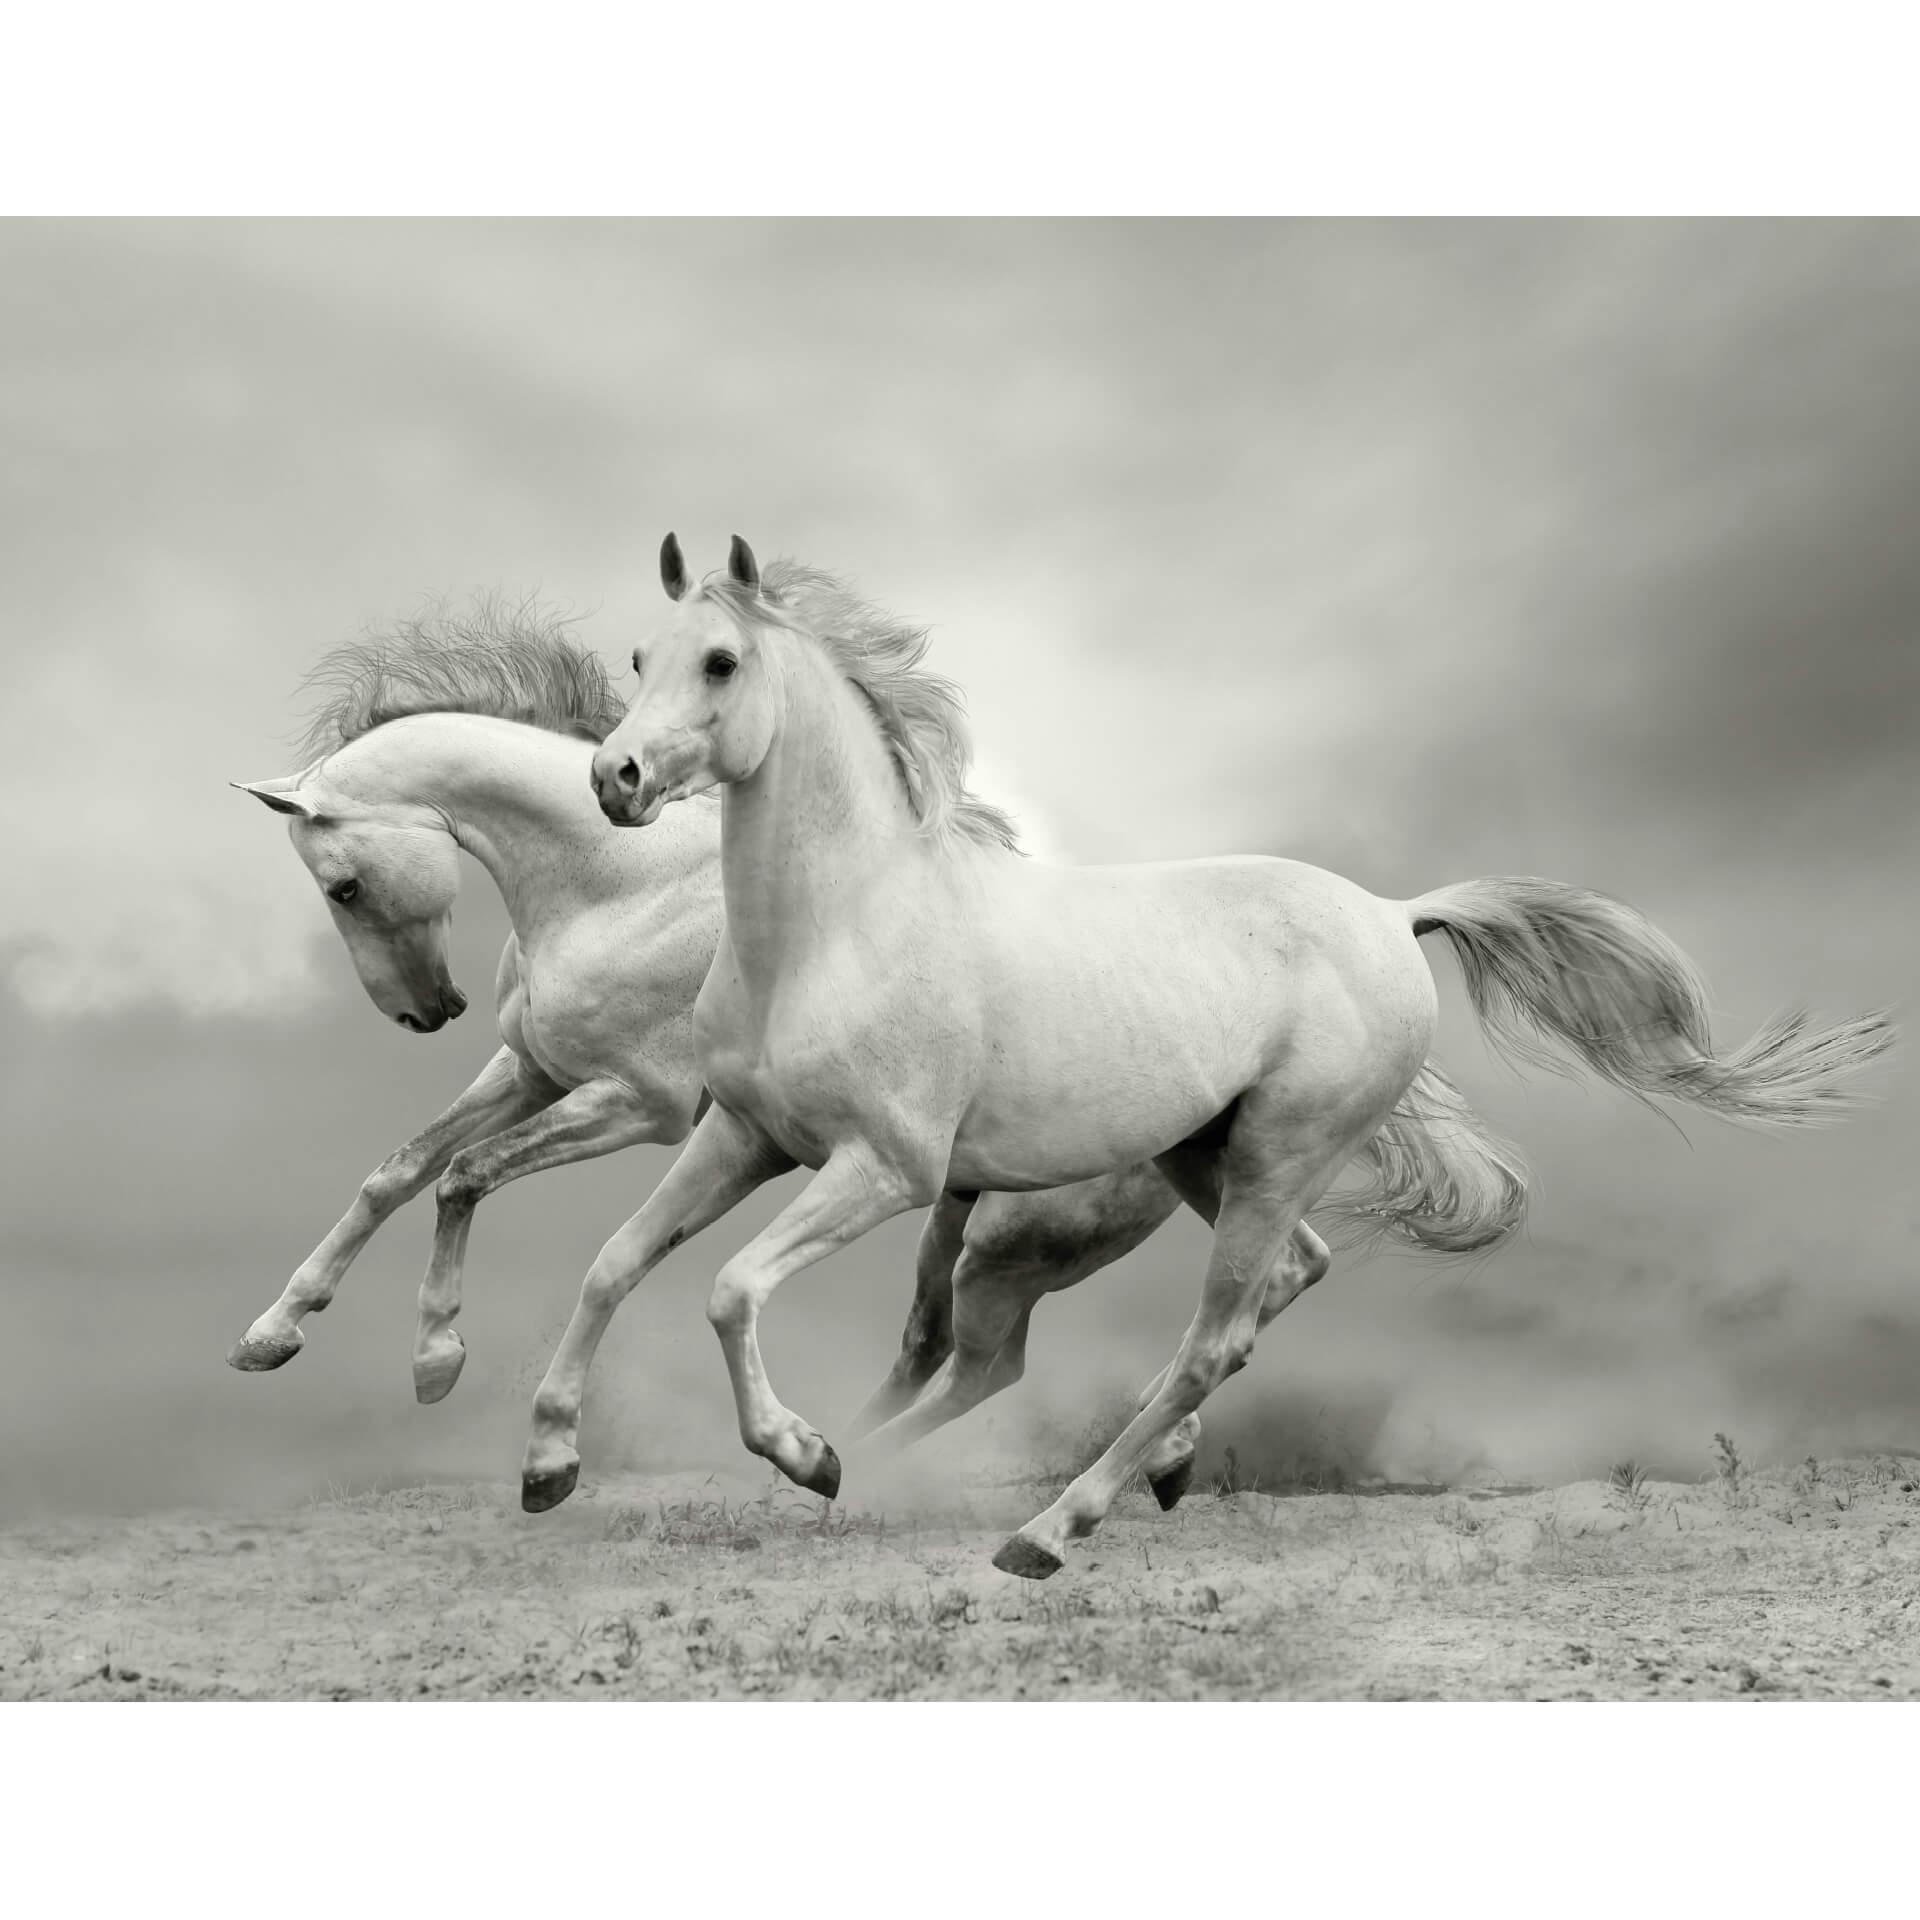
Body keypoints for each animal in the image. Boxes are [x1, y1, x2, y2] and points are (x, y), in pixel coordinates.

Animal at [528, 532, 1894, 1578]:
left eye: (721, 661)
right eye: (640, 658)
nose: (616, 778)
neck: (836, 926)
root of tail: (1394, 913)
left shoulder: (886, 1170)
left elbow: (728, 1288)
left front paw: (805, 1455)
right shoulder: (744, 1137)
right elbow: (612, 1266)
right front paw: (547, 1463)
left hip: (1277, 1155)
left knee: (1212, 1339)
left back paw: (1046, 1530)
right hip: (1207, 1156)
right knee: (1287, 1278)